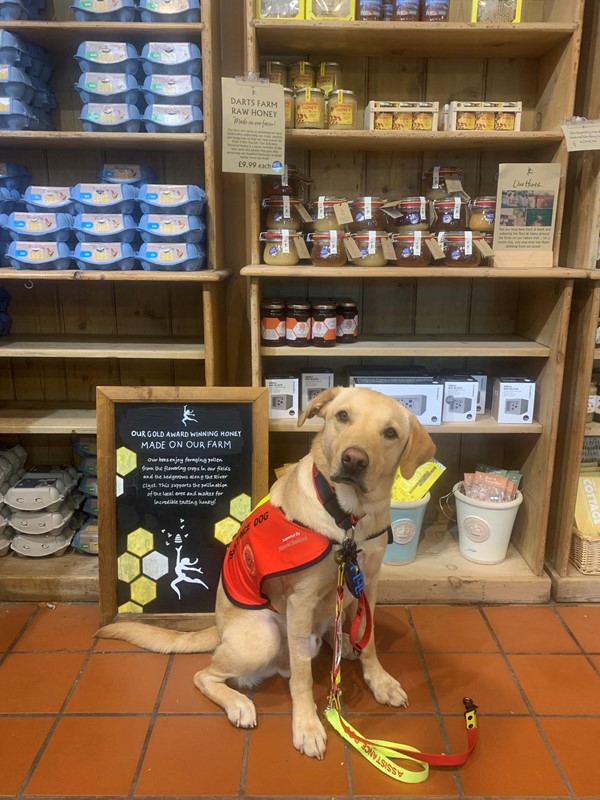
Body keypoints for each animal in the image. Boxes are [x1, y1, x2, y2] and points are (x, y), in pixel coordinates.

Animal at [98, 388, 436, 764]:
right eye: (343, 416)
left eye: (390, 433)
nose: (353, 460)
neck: (348, 518)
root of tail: (218, 628)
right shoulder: (301, 599)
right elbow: (302, 677)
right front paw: (307, 725)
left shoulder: (370, 584)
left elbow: (371, 639)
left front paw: (379, 680)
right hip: (264, 637)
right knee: (206, 675)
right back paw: (239, 704)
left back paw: (345, 643)